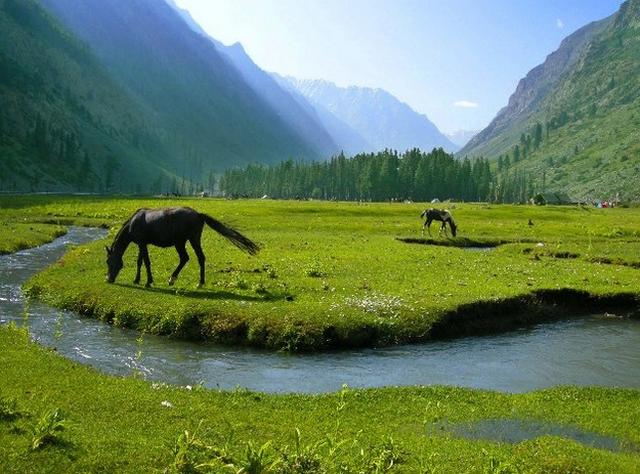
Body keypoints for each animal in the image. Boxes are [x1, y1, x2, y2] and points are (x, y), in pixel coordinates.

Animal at [105, 208, 258, 288]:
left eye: (108, 262)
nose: (109, 279)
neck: (133, 223)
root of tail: (198, 214)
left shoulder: (142, 244)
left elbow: (146, 262)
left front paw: (148, 282)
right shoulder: (142, 244)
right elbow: (140, 262)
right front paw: (137, 280)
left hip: (181, 242)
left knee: (185, 258)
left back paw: (173, 279)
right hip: (192, 240)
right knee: (199, 258)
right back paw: (200, 283)